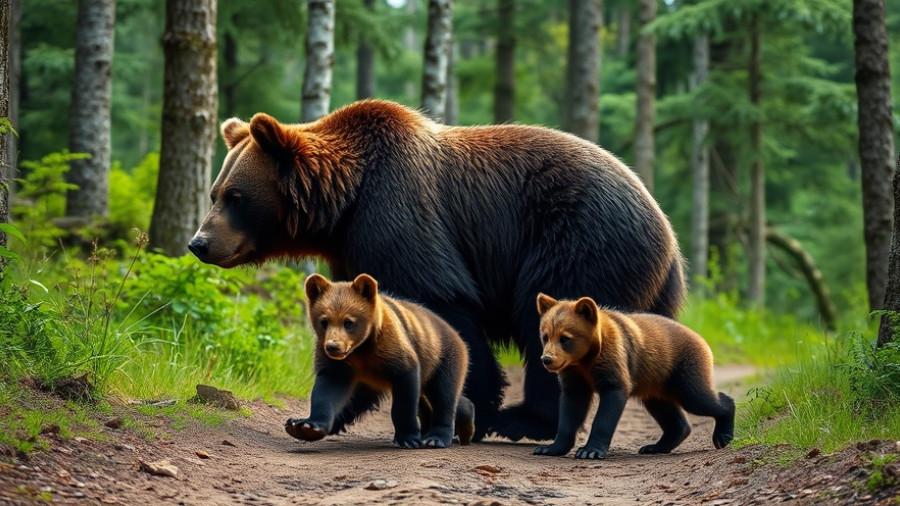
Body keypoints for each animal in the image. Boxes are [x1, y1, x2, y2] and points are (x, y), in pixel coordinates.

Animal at [285, 273, 473, 448]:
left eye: (348, 322)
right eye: (324, 321)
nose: (333, 347)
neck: (361, 348)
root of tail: (457, 334)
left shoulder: (393, 349)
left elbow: (405, 391)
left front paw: (408, 438)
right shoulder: (338, 364)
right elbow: (327, 390)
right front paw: (304, 426)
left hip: (442, 357)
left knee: (444, 394)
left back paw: (439, 437)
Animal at [532, 293, 735, 459]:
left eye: (565, 338)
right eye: (545, 336)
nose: (547, 359)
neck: (585, 360)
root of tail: (702, 339)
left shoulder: (613, 359)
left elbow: (610, 401)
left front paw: (589, 451)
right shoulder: (575, 375)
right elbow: (570, 408)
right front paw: (548, 448)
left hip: (683, 368)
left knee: (697, 397)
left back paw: (723, 435)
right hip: (656, 381)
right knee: (665, 409)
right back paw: (654, 447)